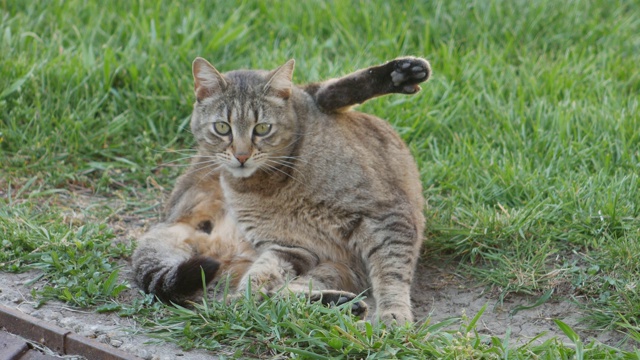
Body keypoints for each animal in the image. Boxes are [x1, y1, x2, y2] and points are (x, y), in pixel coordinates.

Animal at [131, 55, 430, 324]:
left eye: (262, 128)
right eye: (222, 127)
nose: (242, 156)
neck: (271, 184)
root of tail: (169, 221)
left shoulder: (386, 216)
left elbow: (391, 273)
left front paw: (394, 314)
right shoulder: (290, 246)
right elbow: (258, 284)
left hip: (337, 267)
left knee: (324, 93)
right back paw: (337, 304)